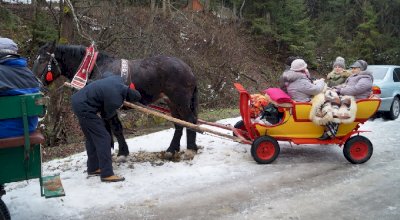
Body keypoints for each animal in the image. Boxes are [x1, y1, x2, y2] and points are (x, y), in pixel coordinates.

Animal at [33, 41, 199, 156]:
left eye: (42, 60)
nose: (36, 83)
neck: (94, 68)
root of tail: (188, 69)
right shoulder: (102, 108)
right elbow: (107, 129)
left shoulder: (109, 107)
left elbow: (117, 128)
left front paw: (122, 153)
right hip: (172, 102)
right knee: (179, 123)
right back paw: (172, 149)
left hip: (180, 100)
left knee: (190, 120)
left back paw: (191, 148)